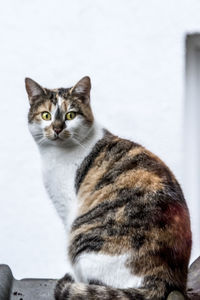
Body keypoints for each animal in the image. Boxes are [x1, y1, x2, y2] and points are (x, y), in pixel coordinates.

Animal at [25, 77, 192, 300]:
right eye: (46, 115)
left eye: (70, 115)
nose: (58, 128)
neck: (55, 154)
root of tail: (163, 280)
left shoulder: (68, 208)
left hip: (82, 239)